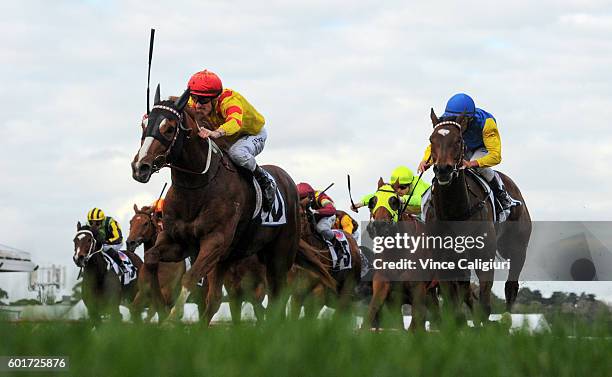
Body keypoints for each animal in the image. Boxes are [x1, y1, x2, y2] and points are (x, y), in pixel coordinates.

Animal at [130, 86, 334, 322]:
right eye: (144, 125)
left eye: (170, 128)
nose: (140, 167)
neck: (197, 187)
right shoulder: (178, 241)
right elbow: (151, 259)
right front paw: (161, 309)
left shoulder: (215, 241)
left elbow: (190, 277)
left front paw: (171, 319)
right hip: (228, 258)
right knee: (216, 299)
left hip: (280, 256)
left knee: (278, 297)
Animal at [426, 108, 532, 324]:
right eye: (431, 139)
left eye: (458, 140)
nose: (443, 169)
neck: (455, 212)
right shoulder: (443, 260)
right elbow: (452, 304)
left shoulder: (483, 257)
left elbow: (485, 304)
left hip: (517, 247)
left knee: (511, 286)